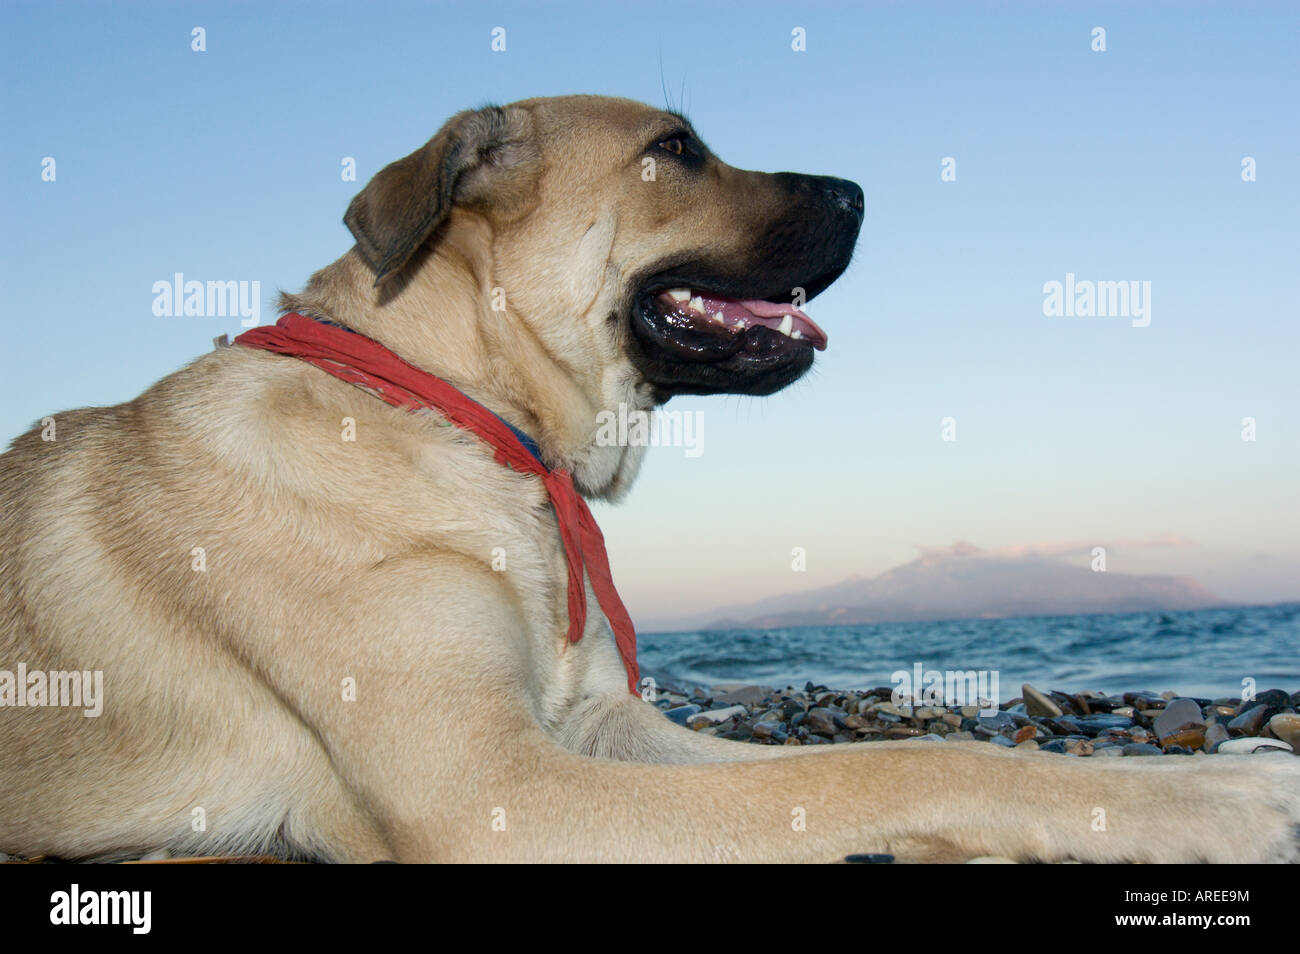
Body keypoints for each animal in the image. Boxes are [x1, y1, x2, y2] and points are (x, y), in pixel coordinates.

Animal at [2, 97, 1300, 868]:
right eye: (675, 149)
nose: (861, 192)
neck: (458, 411)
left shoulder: (599, 731)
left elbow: (884, 762)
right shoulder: (489, 792)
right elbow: (900, 762)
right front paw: (1230, 806)